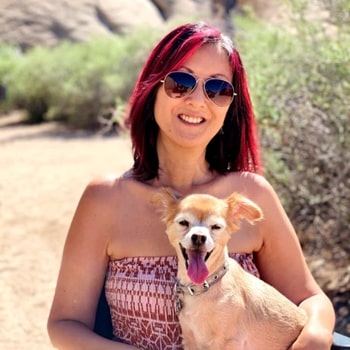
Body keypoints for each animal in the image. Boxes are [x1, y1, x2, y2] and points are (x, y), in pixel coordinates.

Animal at [152, 190, 308, 348]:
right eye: (184, 222)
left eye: (216, 226)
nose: (199, 237)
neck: (203, 287)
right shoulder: (191, 339)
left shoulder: (227, 342)